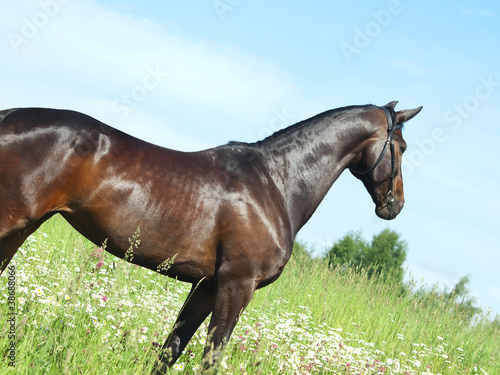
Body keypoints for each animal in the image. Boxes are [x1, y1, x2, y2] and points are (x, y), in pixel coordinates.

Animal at [0, 101, 422, 372]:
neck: (276, 182)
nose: (395, 205)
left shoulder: (206, 286)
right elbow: (211, 358)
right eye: (401, 147)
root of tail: (9, 117)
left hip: (21, 227)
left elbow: (170, 351)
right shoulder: (237, 285)